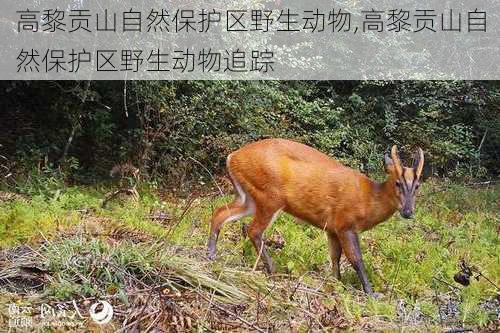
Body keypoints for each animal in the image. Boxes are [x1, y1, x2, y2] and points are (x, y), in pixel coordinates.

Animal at [207, 138, 426, 296]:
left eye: (417, 185)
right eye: (398, 182)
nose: (408, 212)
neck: (370, 199)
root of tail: (232, 157)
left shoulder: (332, 229)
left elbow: (335, 258)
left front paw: (336, 284)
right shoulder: (346, 224)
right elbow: (356, 259)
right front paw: (371, 293)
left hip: (248, 197)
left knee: (219, 213)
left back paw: (211, 254)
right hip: (270, 196)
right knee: (253, 230)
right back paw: (273, 270)